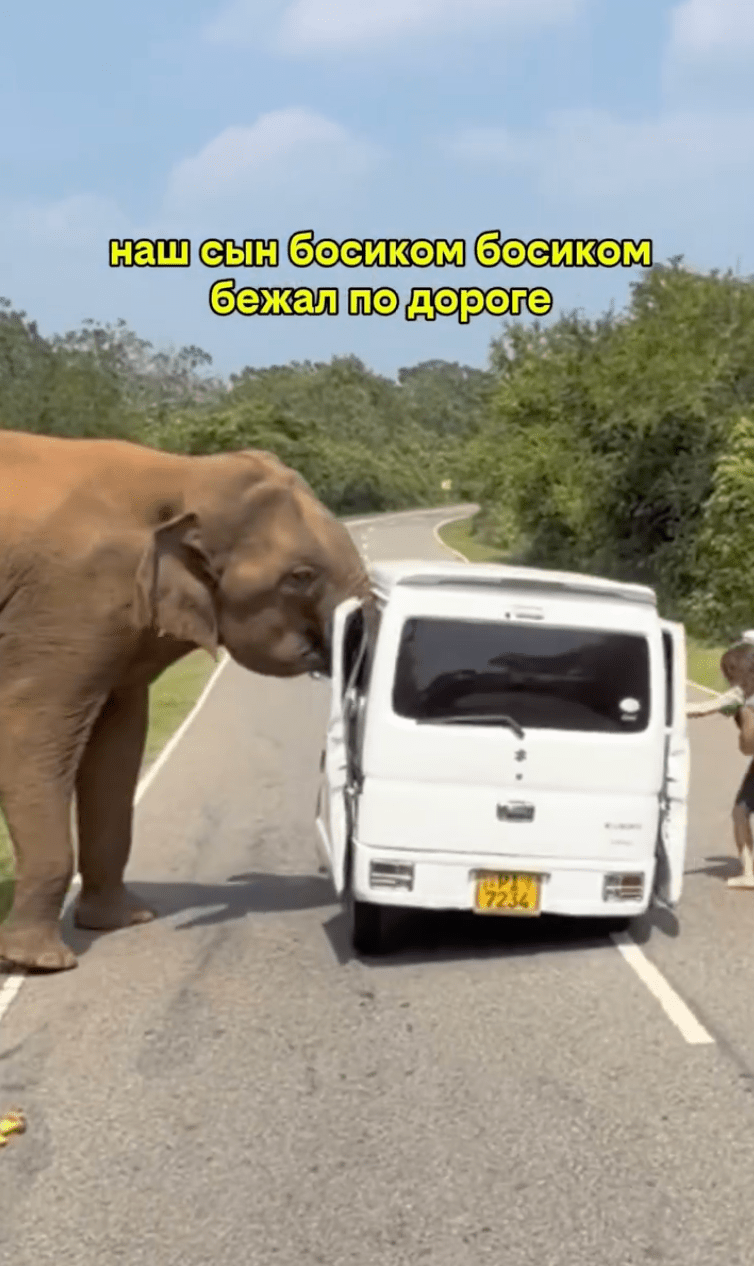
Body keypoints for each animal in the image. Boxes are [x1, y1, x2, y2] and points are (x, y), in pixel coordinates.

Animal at [0, 428, 374, 972]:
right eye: (300, 577)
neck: (185, 473)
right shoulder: (67, 599)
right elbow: (33, 731)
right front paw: (42, 963)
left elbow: (118, 743)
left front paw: (125, 922)